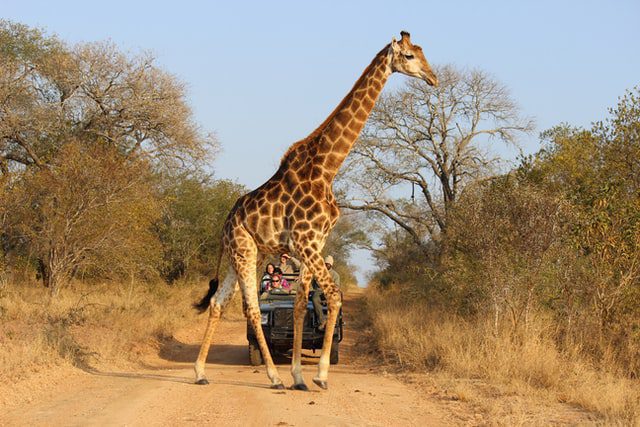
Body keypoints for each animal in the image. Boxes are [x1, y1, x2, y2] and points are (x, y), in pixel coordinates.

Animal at [192, 30, 438, 392]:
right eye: (409, 56)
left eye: (422, 53)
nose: (433, 78)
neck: (327, 168)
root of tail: (224, 224)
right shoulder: (306, 241)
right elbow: (333, 296)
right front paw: (319, 375)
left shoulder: (314, 243)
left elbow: (299, 304)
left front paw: (299, 376)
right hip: (243, 250)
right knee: (252, 309)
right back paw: (273, 377)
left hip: (250, 254)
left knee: (217, 302)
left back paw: (200, 372)